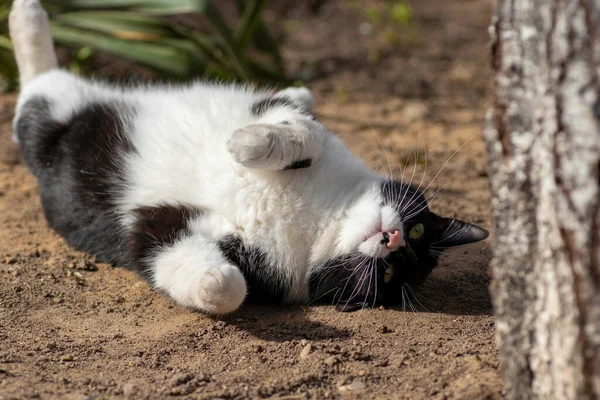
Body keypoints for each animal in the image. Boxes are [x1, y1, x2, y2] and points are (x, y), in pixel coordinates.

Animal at [8, 0, 488, 316]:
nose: (392, 240)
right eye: (418, 227)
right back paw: (27, 15)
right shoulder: (298, 125)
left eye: (390, 275)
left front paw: (214, 282)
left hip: (55, 128)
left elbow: (221, 285)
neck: (321, 219)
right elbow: (303, 132)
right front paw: (248, 145)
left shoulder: (162, 229)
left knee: (34, 99)